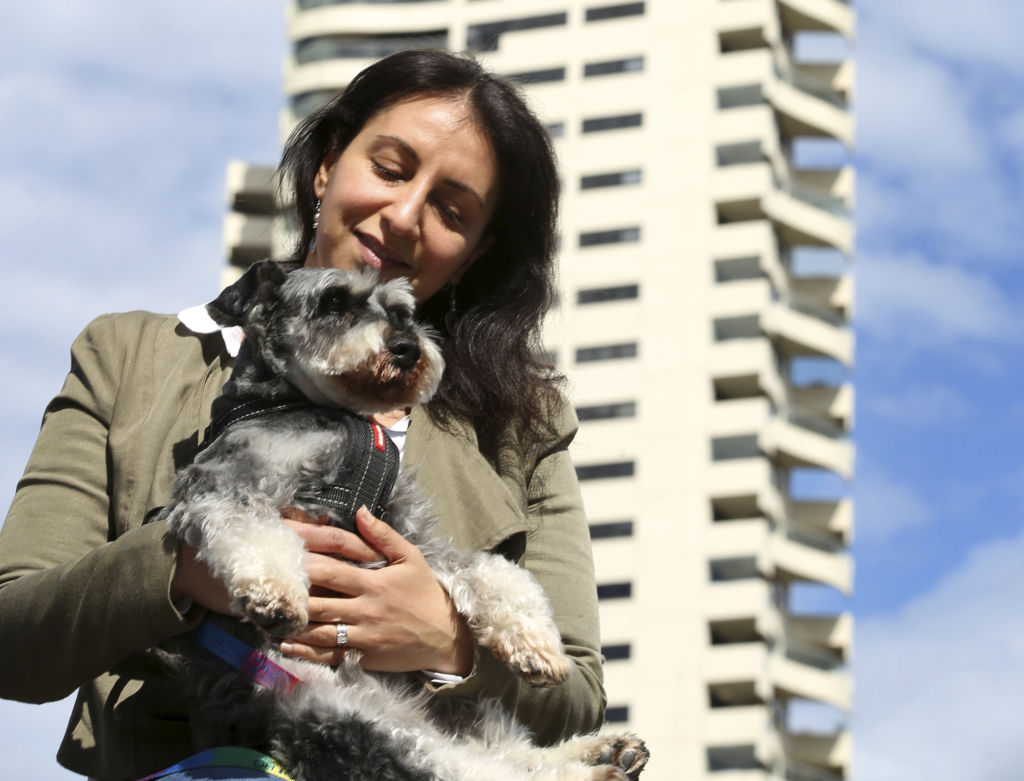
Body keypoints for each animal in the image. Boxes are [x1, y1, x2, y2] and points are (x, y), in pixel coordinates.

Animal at [157, 262, 647, 781]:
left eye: (401, 312)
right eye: (334, 302)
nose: (407, 347)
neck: (330, 415)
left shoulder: (414, 539)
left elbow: (492, 573)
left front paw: (538, 645)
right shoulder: (221, 486)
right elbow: (251, 532)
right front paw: (277, 595)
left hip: (450, 711)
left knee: (504, 752)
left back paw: (605, 752)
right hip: (350, 720)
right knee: (473, 767)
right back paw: (600, 764)